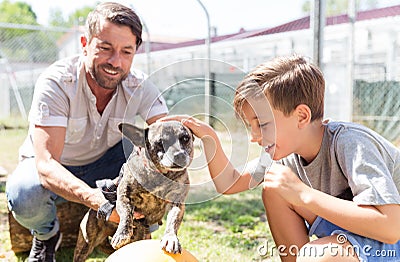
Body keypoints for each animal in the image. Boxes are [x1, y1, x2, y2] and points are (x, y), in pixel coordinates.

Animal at [75, 121, 195, 262]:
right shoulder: (124, 196)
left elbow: (173, 221)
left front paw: (171, 238)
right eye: (160, 143)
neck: (161, 174)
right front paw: (122, 234)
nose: (179, 155)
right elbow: (127, 214)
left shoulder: (177, 203)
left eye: (185, 138)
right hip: (85, 244)